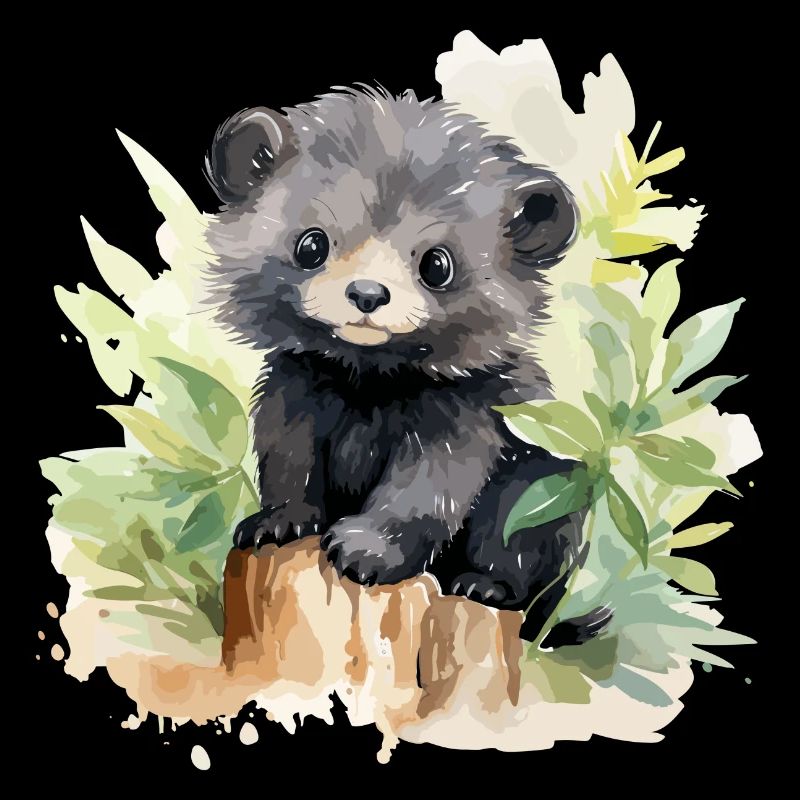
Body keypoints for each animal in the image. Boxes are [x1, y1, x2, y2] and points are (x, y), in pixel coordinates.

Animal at [205, 86, 610, 645]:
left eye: (437, 264)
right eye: (311, 244)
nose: (367, 294)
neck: (368, 375)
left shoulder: (465, 412)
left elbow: (431, 484)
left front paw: (365, 551)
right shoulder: (299, 384)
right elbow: (289, 455)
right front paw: (278, 522)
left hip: (544, 493)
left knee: (516, 537)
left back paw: (486, 586)